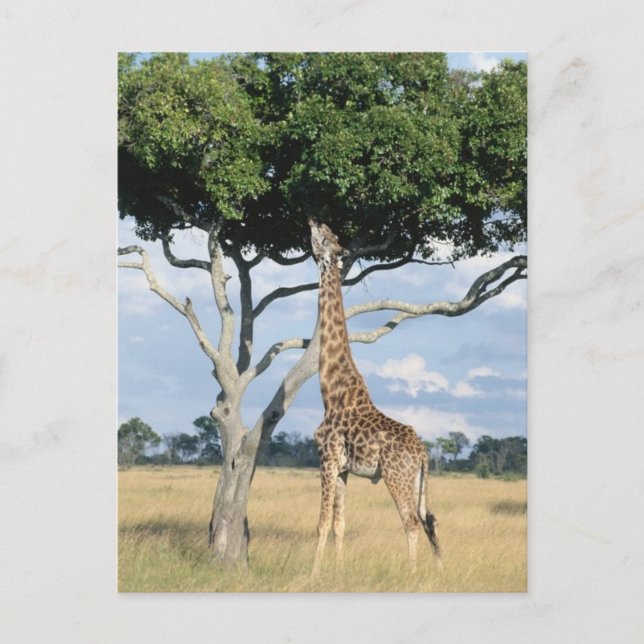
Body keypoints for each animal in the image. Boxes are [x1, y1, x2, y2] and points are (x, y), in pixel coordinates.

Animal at [309, 219, 441, 575]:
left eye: (324, 236)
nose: (312, 219)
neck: (331, 392)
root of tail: (422, 452)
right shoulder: (343, 468)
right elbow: (340, 523)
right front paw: (338, 572)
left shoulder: (326, 459)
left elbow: (321, 523)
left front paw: (312, 572)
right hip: (417, 481)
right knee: (429, 521)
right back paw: (439, 571)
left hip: (397, 477)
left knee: (411, 523)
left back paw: (412, 574)